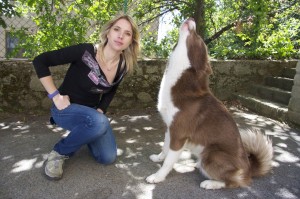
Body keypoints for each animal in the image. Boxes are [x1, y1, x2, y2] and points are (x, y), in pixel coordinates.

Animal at [146, 17, 274, 189]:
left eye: (198, 38)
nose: (192, 18)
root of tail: (248, 169)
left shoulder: (179, 134)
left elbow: (168, 161)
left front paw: (158, 176)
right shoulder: (169, 127)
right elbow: (164, 148)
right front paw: (158, 158)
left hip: (212, 153)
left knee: (233, 181)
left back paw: (210, 183)